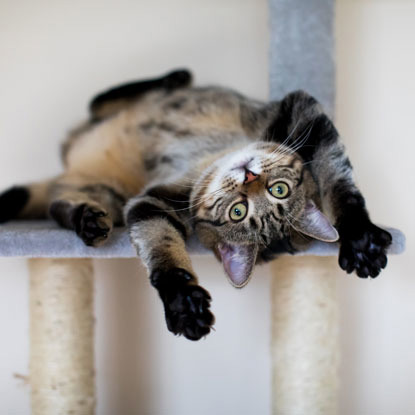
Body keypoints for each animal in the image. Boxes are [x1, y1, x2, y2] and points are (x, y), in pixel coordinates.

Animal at [0, 69, 394, 342]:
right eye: (240, 210)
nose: (248, 175)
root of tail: (70, 167)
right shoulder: (303, 112)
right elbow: (341, 184)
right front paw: (361, 238)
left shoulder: (150, 201)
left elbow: (161, 250)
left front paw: (182, 303)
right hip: (116, 116)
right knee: (109, 97)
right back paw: (173, 76)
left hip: (103, 192)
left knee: (57, 205)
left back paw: (87, 220)